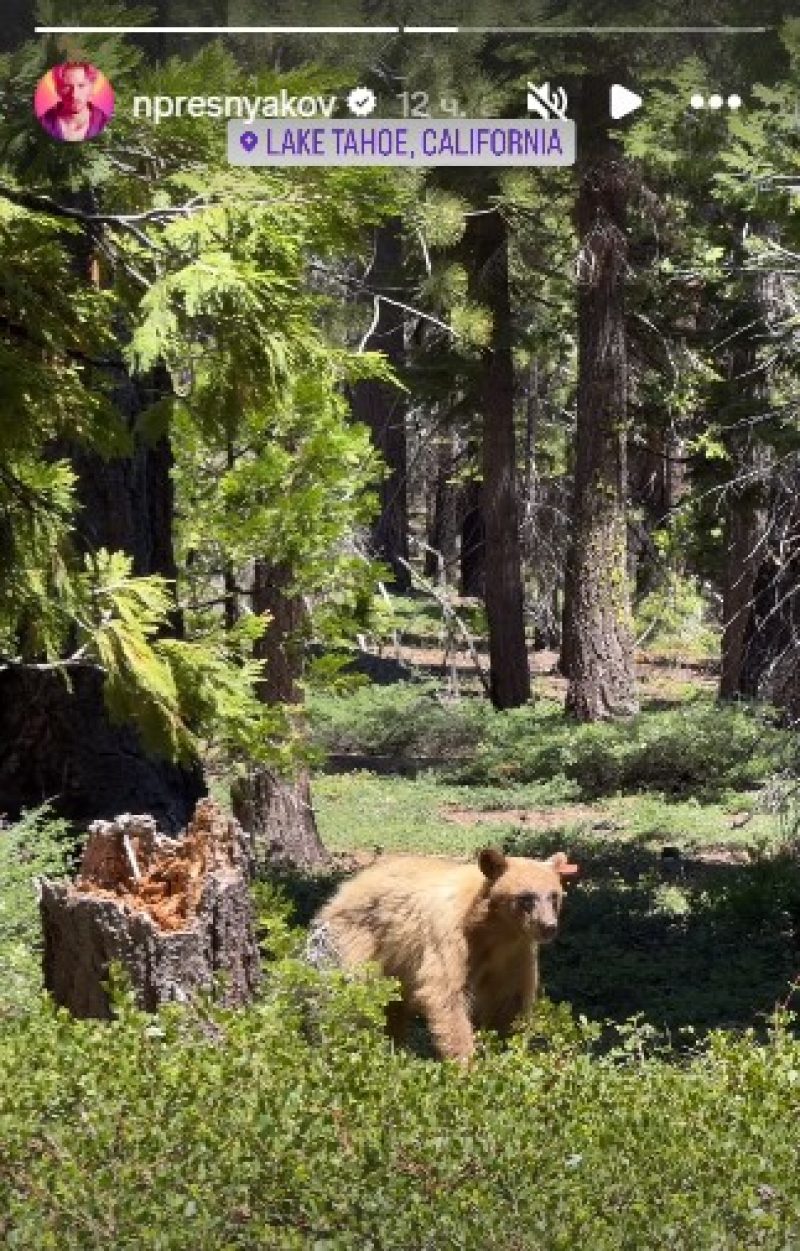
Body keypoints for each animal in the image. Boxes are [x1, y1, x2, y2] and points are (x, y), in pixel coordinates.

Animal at [306, 845, 575, 1060]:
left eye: (554, 896)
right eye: (526, 897)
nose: (548, 927)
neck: (492, 929)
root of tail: (341, 891)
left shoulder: (515, 953)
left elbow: (509, 1001)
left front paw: (508, 1051)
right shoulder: (450, 937)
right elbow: (447, 995)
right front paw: (468, 1065)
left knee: (393, 1007)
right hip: (352, 940)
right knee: (347, 995)